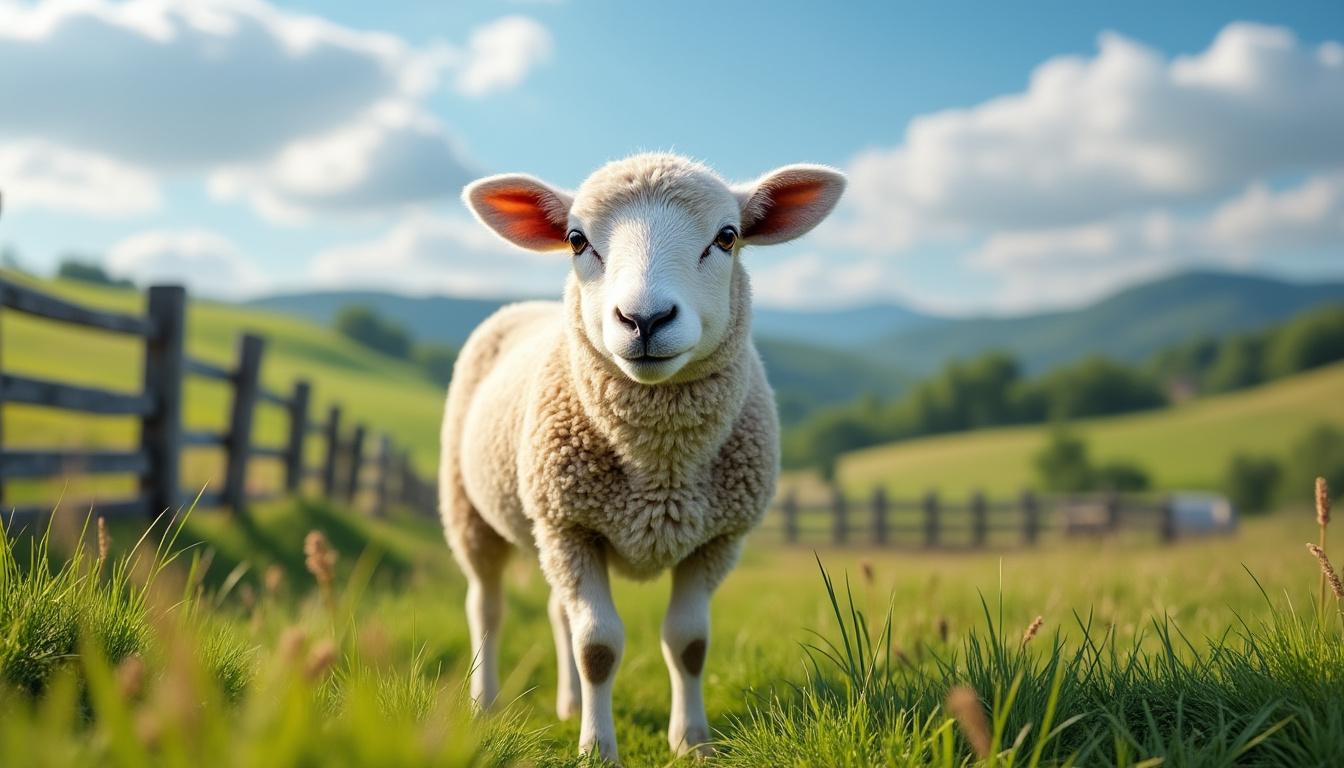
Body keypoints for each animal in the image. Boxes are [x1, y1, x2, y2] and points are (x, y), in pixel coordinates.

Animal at [442, 153, 845, 762]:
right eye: (576, 240)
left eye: (727, 237)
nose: (645, 320)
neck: (660, 473)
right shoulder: (570, 525)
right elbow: (598, 647)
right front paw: (597, 750)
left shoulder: (716, 539)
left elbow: (689, 643)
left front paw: (693, 742)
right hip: (473, 512)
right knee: (486, 607)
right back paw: (484, 705)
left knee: (557, 610)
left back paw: (568, 705)